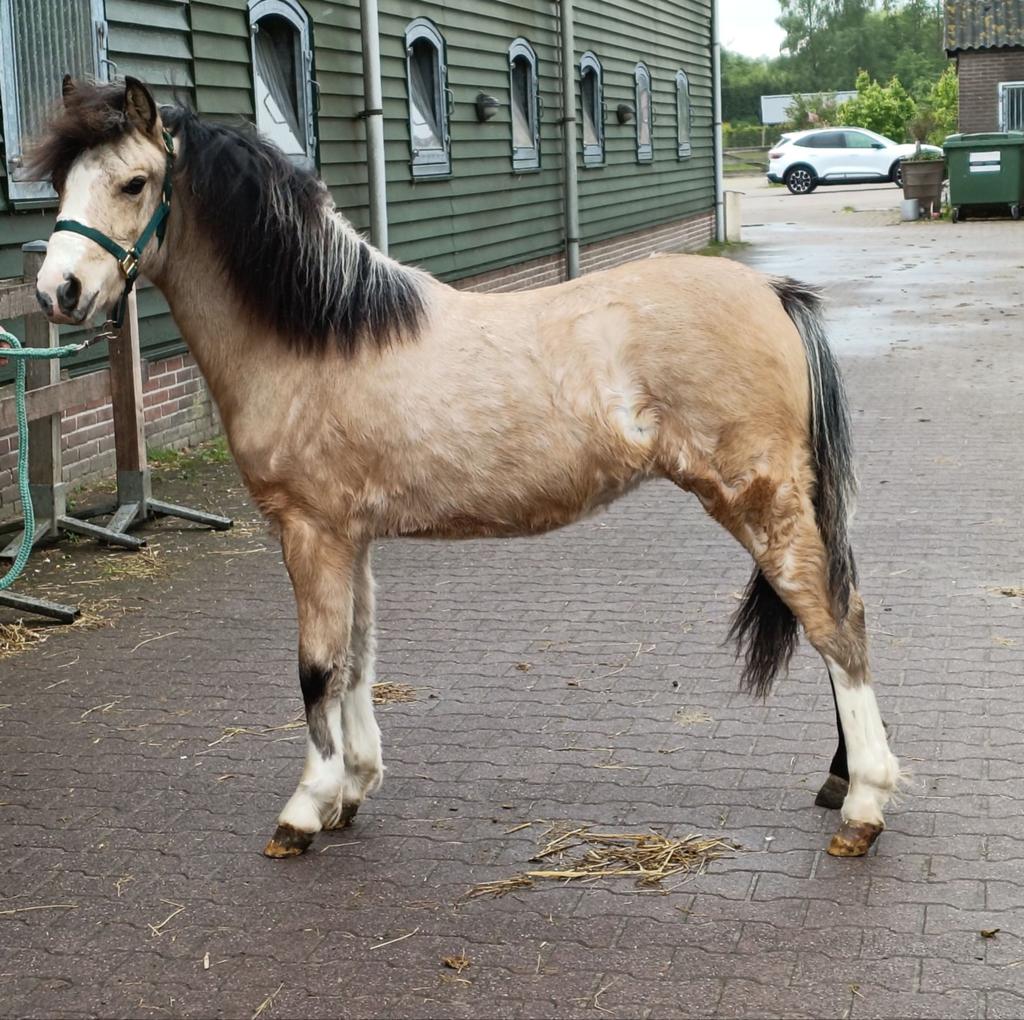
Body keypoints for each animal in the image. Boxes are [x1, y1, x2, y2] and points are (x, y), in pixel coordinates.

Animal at [30, 77, 899, 860]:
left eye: (134, 182)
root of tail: (772, 292)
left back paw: (863, 806)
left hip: (759, 501)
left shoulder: (310, 532)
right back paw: (840, 783)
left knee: (838, 624)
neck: (318, 335)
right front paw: (353, 789)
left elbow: (316, 668)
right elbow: (357, 658)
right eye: (60, 183)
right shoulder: (352, 538)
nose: (57, 291)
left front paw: (305, 810)